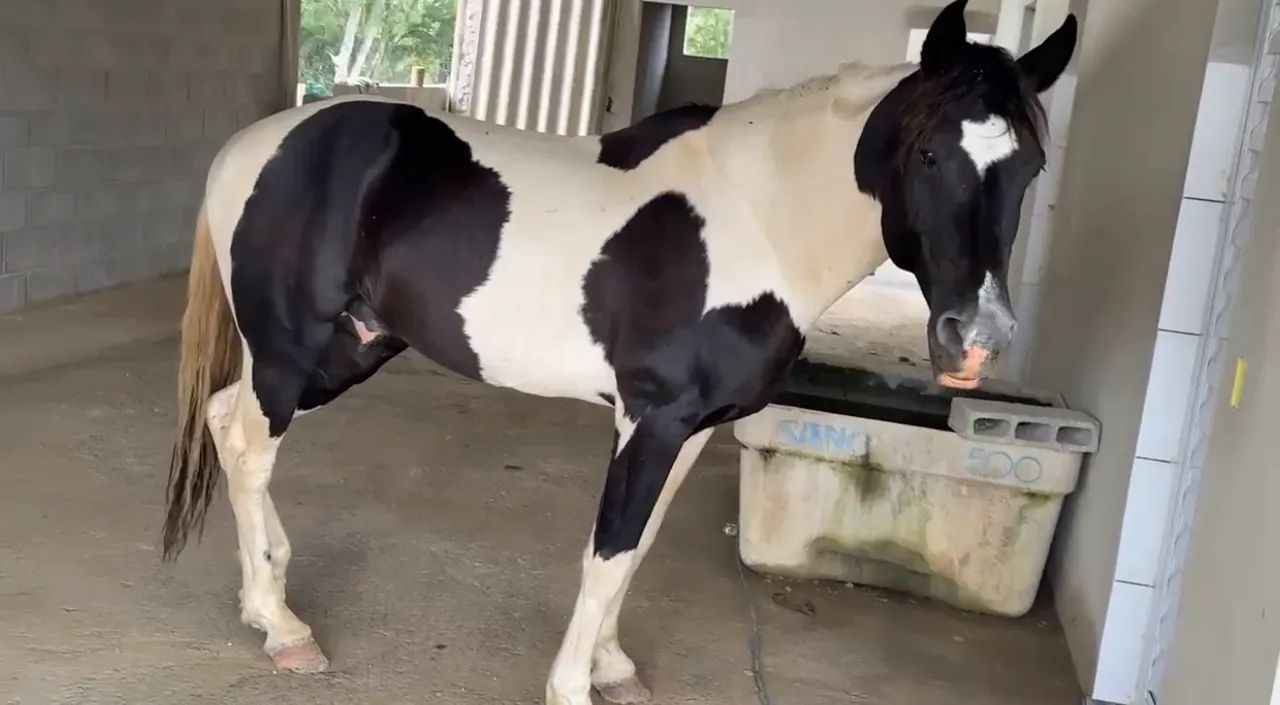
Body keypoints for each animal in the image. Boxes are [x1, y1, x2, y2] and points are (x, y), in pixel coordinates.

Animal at [160, 2, 1077, 703]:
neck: (757, 217)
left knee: (226, 421)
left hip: (346, 349)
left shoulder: (691, 428)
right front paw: (571, 685)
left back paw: (267, 590)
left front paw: (610, 664)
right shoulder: (654, 417)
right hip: (290, 352)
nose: (976, 337)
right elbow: (608, 553)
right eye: (929, 152)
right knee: (250, 449)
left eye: (1032, 165)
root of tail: (252, 144)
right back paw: (282, 626)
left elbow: (638, 548)